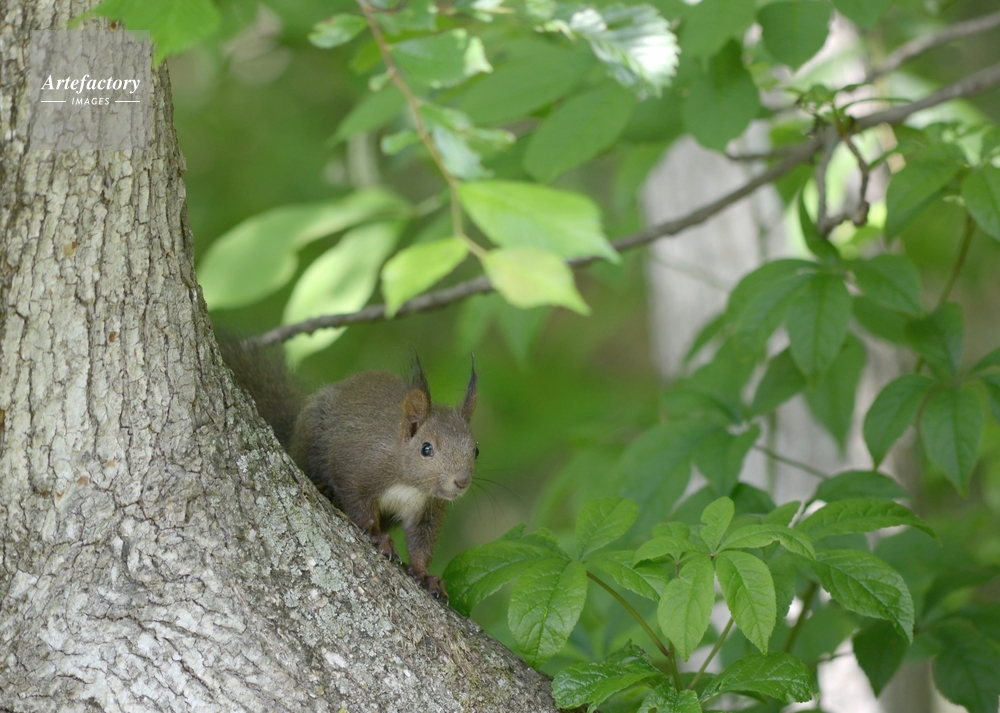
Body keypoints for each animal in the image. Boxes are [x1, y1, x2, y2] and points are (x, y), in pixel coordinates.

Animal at [219, 338, 478, 601]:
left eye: (476, 450)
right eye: (426, 449)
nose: (461, 482)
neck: (409, 484)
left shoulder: (428, 508)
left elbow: (421, 543)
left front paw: (424, 575)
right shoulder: (356, 465)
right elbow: (358, 503)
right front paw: (377, 537)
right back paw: (326, 489)